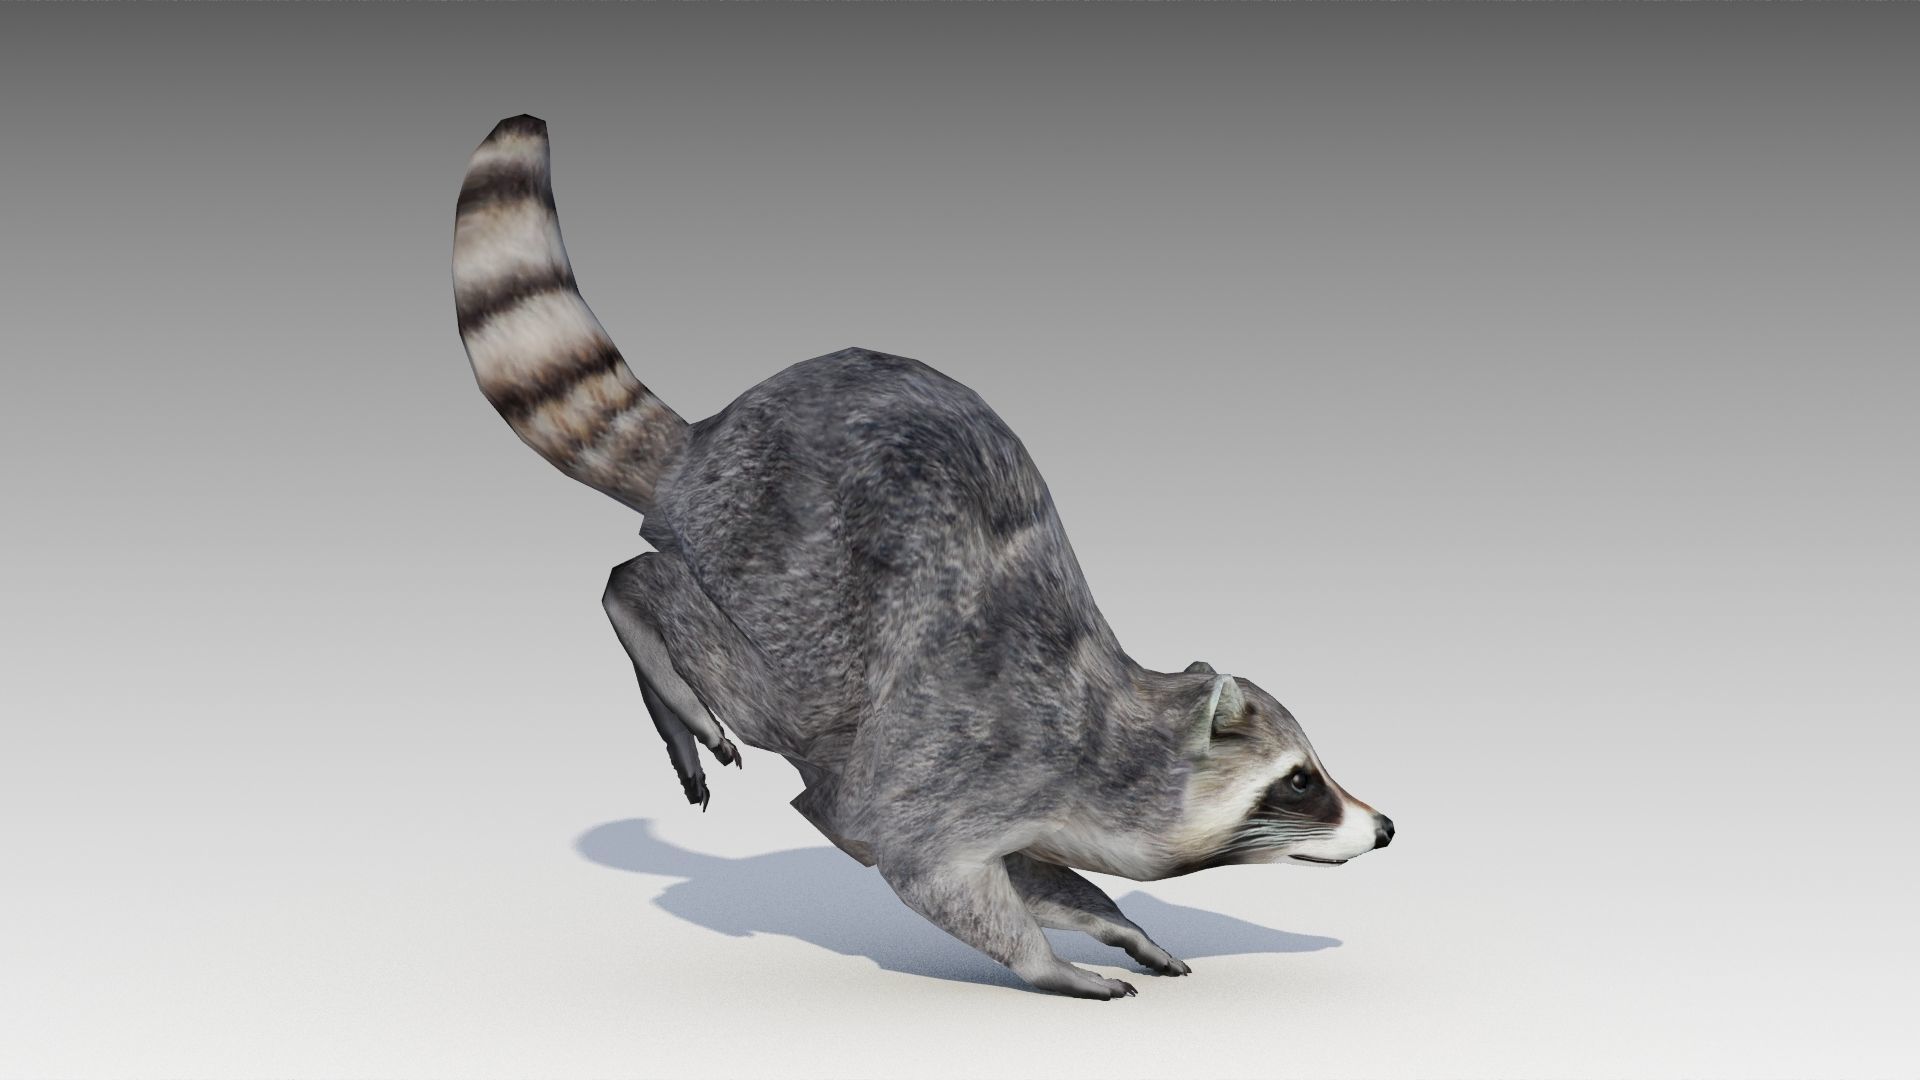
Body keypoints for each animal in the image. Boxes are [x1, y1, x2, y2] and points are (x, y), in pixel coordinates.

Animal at [452, 115, 1394, 999]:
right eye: (1299, 781)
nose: (1386, 828)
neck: (1118, 728)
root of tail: (709, 448)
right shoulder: (976, 753)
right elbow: (914, 857)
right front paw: (1048, 963)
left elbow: (1035, 873)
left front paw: (1113, 921)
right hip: (788, 579)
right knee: (715, 642)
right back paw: (647, 621)